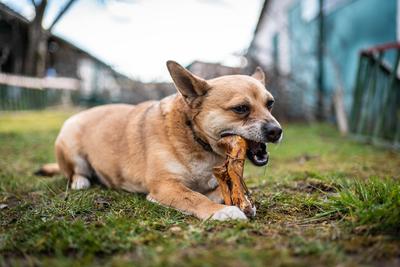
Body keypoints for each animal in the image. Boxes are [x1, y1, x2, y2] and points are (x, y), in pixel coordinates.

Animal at [41, 61, 282, 221]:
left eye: (270, 104)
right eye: (240, 109)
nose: (276, 131)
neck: (196, 140)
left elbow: (214, 192)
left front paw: (242, 202)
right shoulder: (165, 186)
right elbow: (195, 197)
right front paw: (223, 211)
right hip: (70, 142)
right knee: (74, 172)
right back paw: (81, 181)